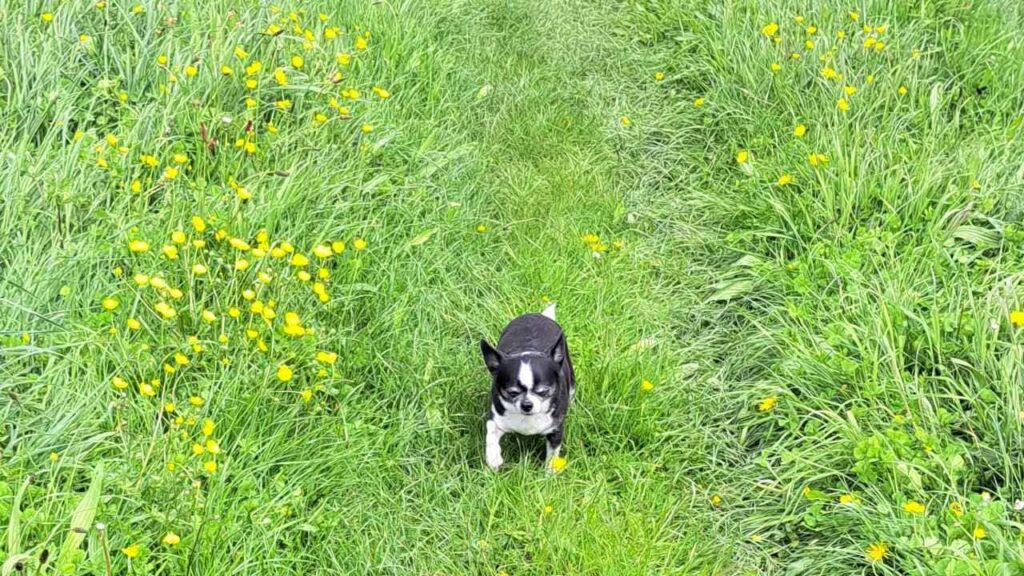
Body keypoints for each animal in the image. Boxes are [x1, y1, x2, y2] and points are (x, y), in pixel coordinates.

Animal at [481, 303, 577, 469]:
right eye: (512, 393)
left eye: (543, 391)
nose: (527, 405)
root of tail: (538, 315)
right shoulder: (496, 419)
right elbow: (491, 434)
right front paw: (493, 457)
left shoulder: (556, 430)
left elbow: (552, 455)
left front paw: (548, 472)